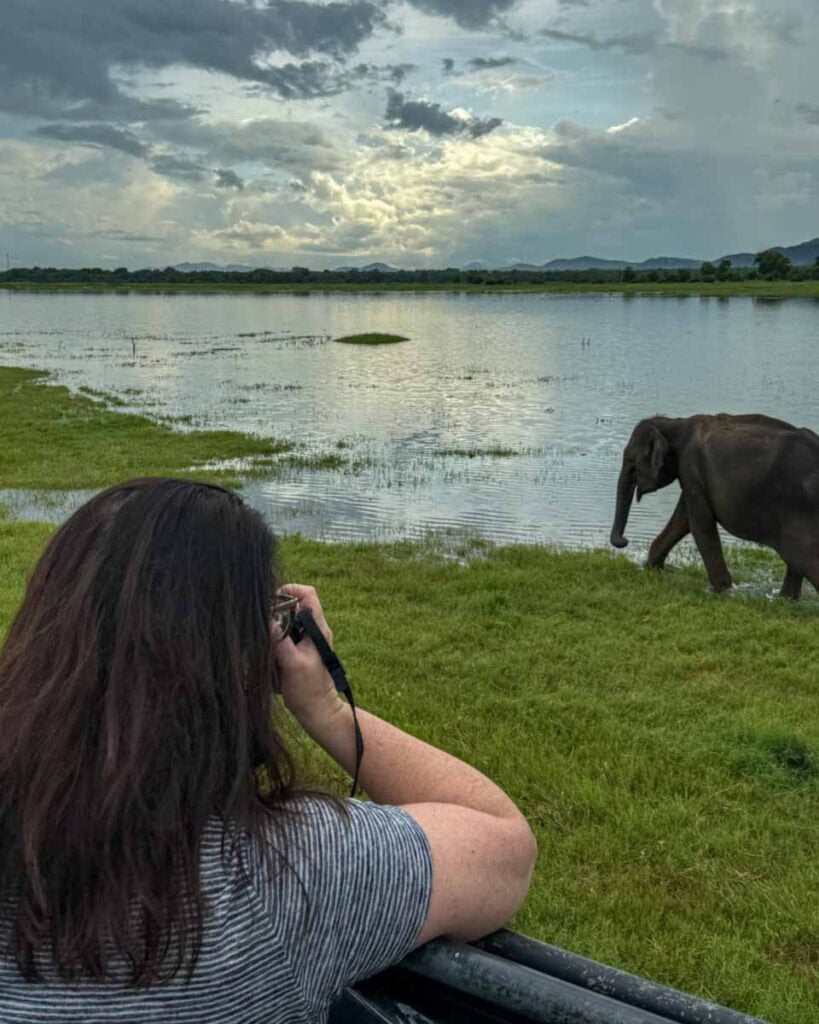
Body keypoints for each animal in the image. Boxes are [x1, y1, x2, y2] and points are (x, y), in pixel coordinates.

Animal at [610, 414, 819, 598]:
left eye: (631, 461)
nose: (624, 541)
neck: (676, 423)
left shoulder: (691, 467)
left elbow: (699, 523)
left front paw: (721, 590)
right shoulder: (693, 477)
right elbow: (683, 520)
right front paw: (653, 568)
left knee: (802, 556)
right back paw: (786, 599)